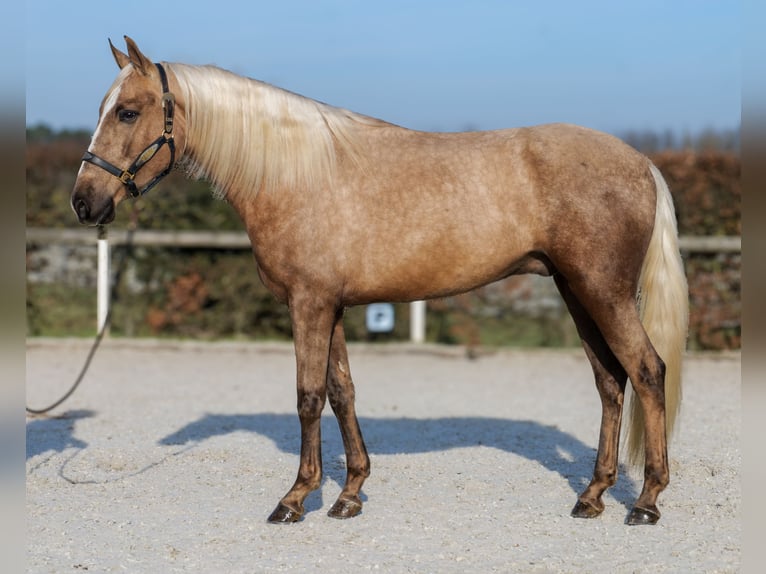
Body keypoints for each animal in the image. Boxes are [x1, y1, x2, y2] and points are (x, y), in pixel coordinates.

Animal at [71, 37, 688, 525]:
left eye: (127, 112)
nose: (84, 202)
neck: (296, 173)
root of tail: (640, 163)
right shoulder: (333, 305)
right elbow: (342, 391)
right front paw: (349, 494)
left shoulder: (309, 304)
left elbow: (308, 396)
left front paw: (296, 498)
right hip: (576, 291)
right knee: (610, 382)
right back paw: (592, 495)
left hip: (603, 292)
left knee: (646, 371)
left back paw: (646, 501)